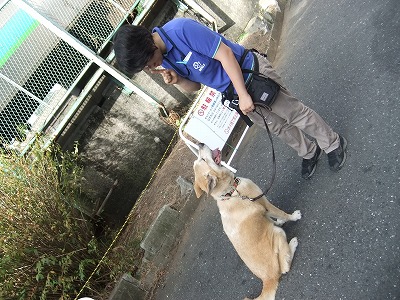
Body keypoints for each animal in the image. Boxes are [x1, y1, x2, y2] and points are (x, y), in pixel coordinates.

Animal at [193, 144, 300, 300]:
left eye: (199, 159)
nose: (200, 144)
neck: (231, 191)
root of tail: (268, 279)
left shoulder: (263, 208)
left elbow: (272, 217)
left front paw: (279, 220)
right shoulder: (264, 202)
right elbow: (281, 213)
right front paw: (293, 217)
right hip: (278, 234)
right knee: (285, 267)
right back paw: (293, 243)